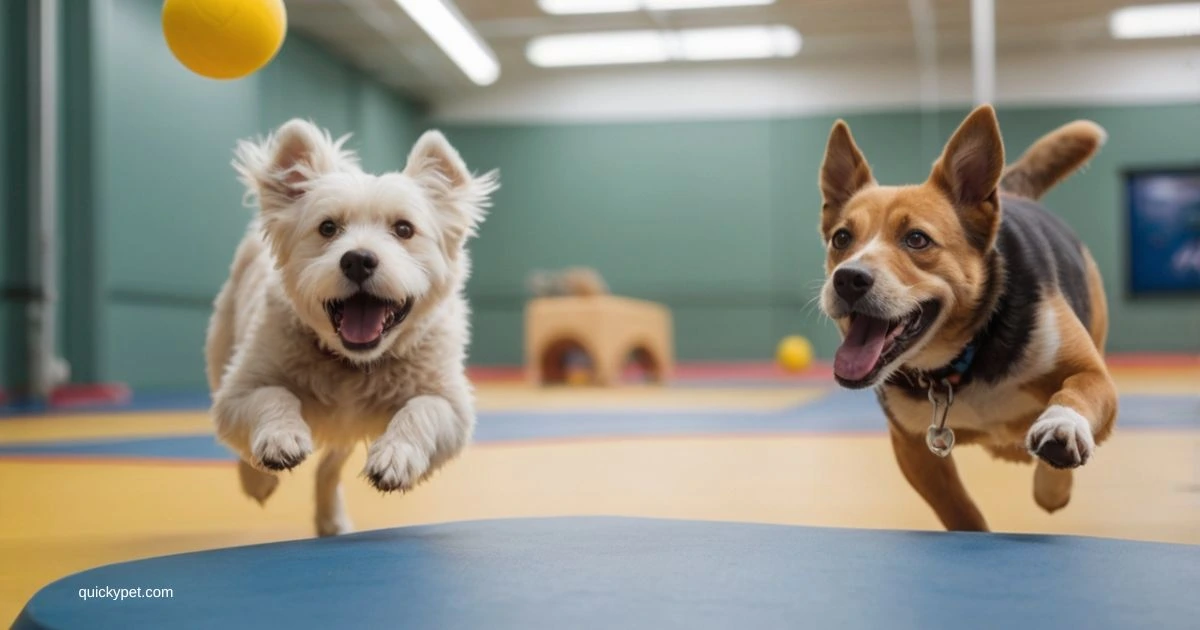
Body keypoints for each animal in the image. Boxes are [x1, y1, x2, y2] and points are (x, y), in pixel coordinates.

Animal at [204, 119, 494, 535]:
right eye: (327, 228)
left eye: (404, 229)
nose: (358, 259)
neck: (353, 363)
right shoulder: (239, 391)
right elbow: (274, 396)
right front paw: (278, 438)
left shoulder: (451, 407)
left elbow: (421, 409)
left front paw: (395, 455)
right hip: (222, 353)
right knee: (245, 446)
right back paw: (258, 480)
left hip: (346, 432)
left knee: (329, 468)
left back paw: (332, 519)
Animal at [816, 105, 1113, 528]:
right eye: (841, 238)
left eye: (917, 239)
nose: (848, 279)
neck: (965, 356)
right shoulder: (914, 448)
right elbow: (960, 513)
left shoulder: (1094, 376)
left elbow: (1075, 394)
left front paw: (1062, 433)